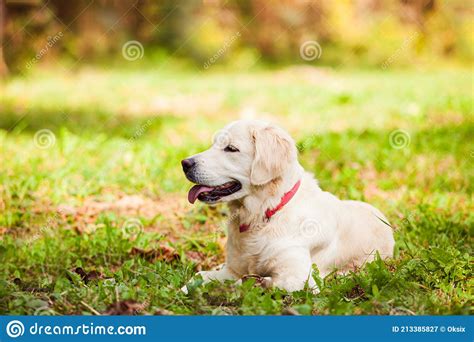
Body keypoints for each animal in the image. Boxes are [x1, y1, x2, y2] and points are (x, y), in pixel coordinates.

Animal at [180, 119, 394, 292]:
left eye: (231, 148)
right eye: (213, 144)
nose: (185, 163)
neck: (263, 215)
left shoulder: (300, 279)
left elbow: (249, 281)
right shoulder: (232, 269)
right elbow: (200, 276)